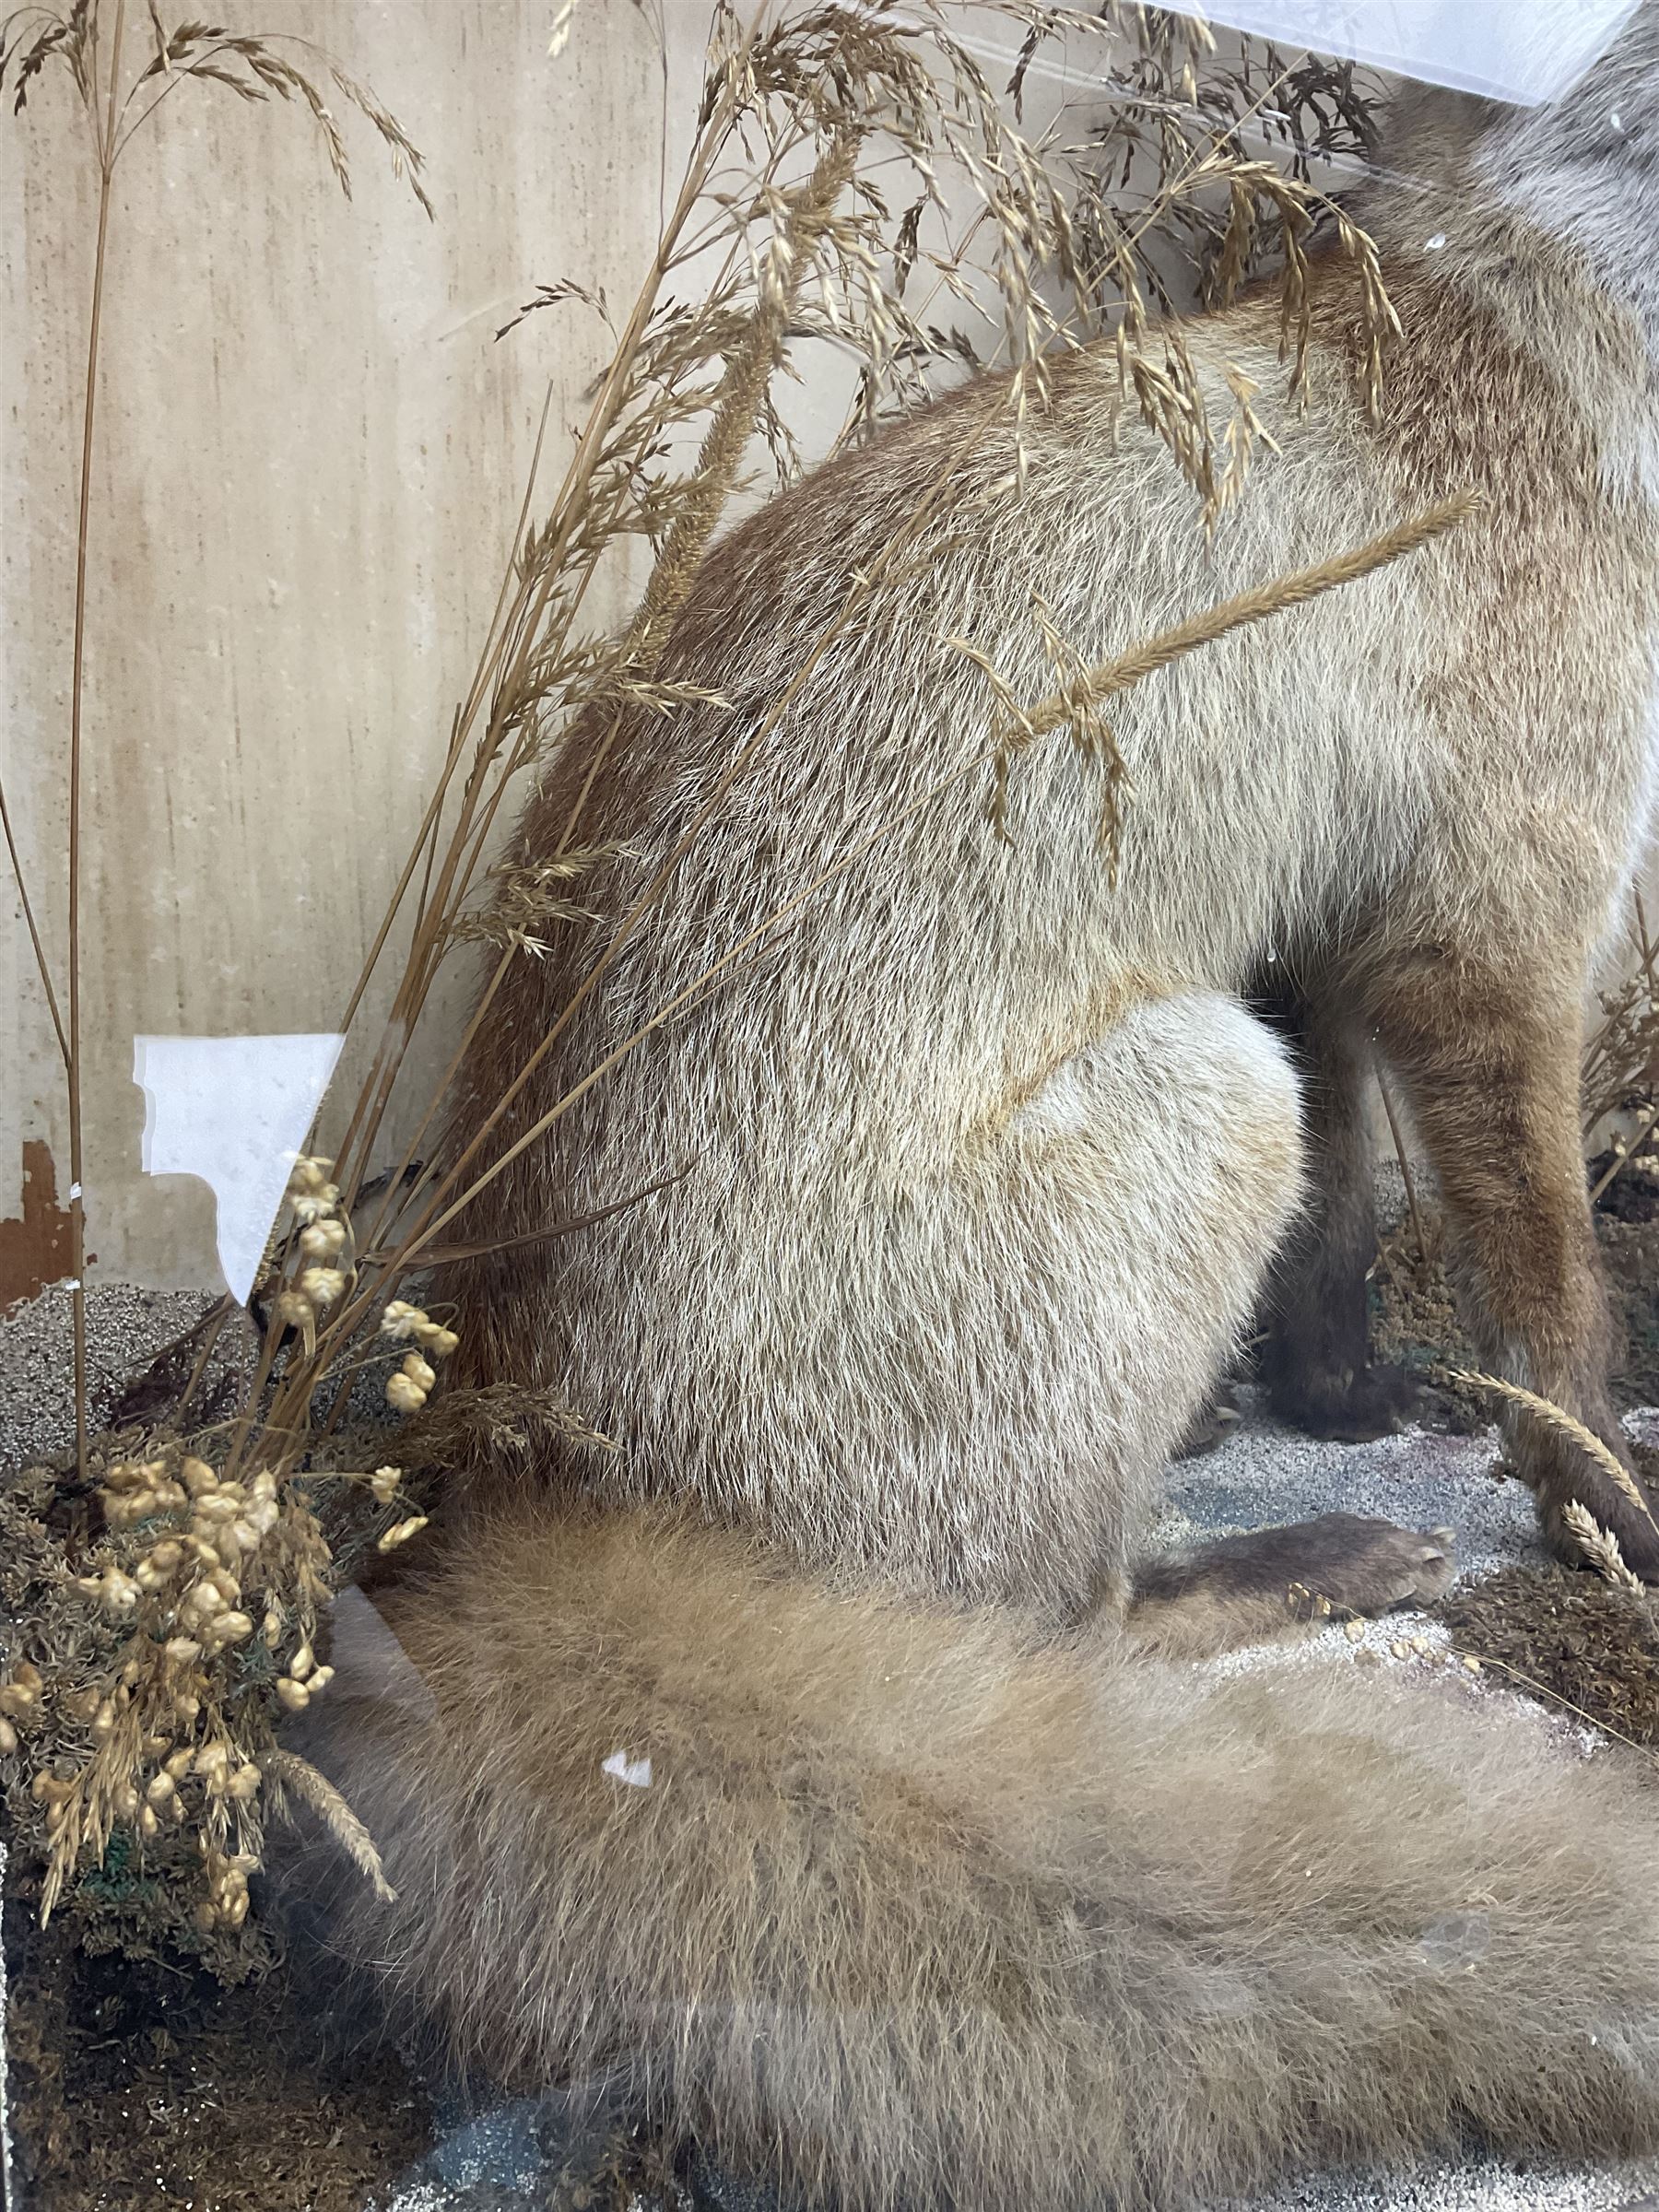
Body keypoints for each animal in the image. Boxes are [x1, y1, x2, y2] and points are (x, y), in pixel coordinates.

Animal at [302, 16, 1659, 2211]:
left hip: (1227, 1056)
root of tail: (525, 1457)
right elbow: (1552, 1308)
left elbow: (1353, 1238)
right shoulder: (1496, 925)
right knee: (1066, 1623)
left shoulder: (1323, 927)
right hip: (1207, 1101)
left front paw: (1340, 1392)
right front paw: (1608, 1518)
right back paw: (1282, 1572)